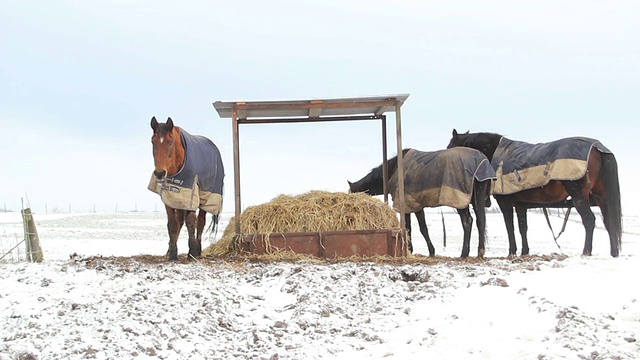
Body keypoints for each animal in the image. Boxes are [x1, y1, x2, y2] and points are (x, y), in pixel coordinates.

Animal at [149, 116, 224, 260]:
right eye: (153, 141)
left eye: (170, 142)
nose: (160, 173)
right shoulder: (170, 197)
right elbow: (172, 223)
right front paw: (173, 254)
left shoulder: (191, 196)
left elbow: (191, 222)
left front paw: (192, 252)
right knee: (180, 221)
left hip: (206, 198)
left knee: (200, 222)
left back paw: (197, 250)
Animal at [350, 148, 496, 258]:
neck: (395, 168)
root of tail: (480, 163)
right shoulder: (416, 205)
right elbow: (421, 227)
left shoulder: (408, 205)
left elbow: (414, 227)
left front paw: (414, 250)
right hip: (476, 199)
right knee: (480, 221)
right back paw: (480, 252)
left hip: (459, 201)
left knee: (467, 221)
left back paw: (464, 253)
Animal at [448, 129, 624, 258]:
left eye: (450, 146)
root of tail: (597, 147)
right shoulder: (520, 205)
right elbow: (522, 227)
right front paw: (524, 251)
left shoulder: (505, 203)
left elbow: (510, 226)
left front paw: (512, 252)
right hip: (602, 199)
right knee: (609, 222)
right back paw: (613, 252)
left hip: (579, 196)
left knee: (589, 220)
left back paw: (586, 252)